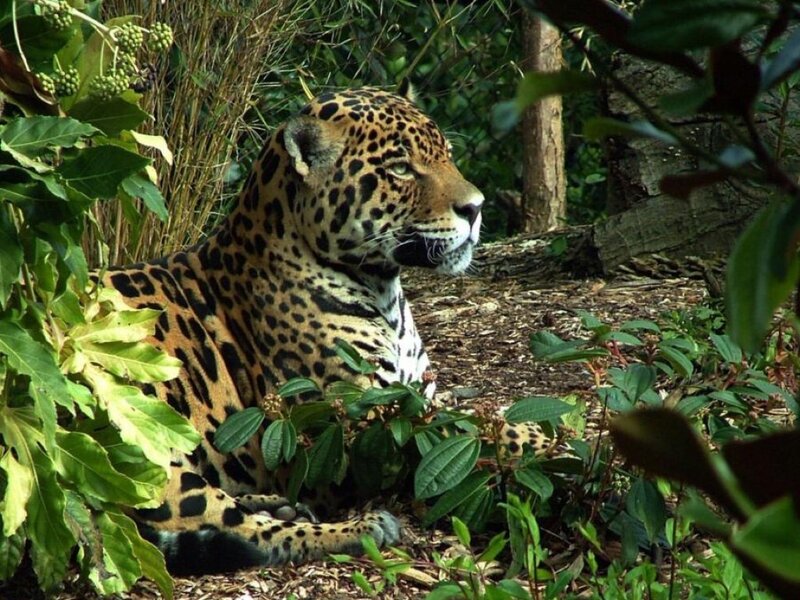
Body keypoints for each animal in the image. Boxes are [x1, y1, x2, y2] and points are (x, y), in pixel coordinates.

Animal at [105, 84, 489, 575]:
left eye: (447, 156)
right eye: (401, 168)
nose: (476, 208)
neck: (386, 292)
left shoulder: (417, 395)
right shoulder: (362, 428)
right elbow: (470, 434)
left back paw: (279, 503)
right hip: (140, 442)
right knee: (244, 532)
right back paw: (360, 528)